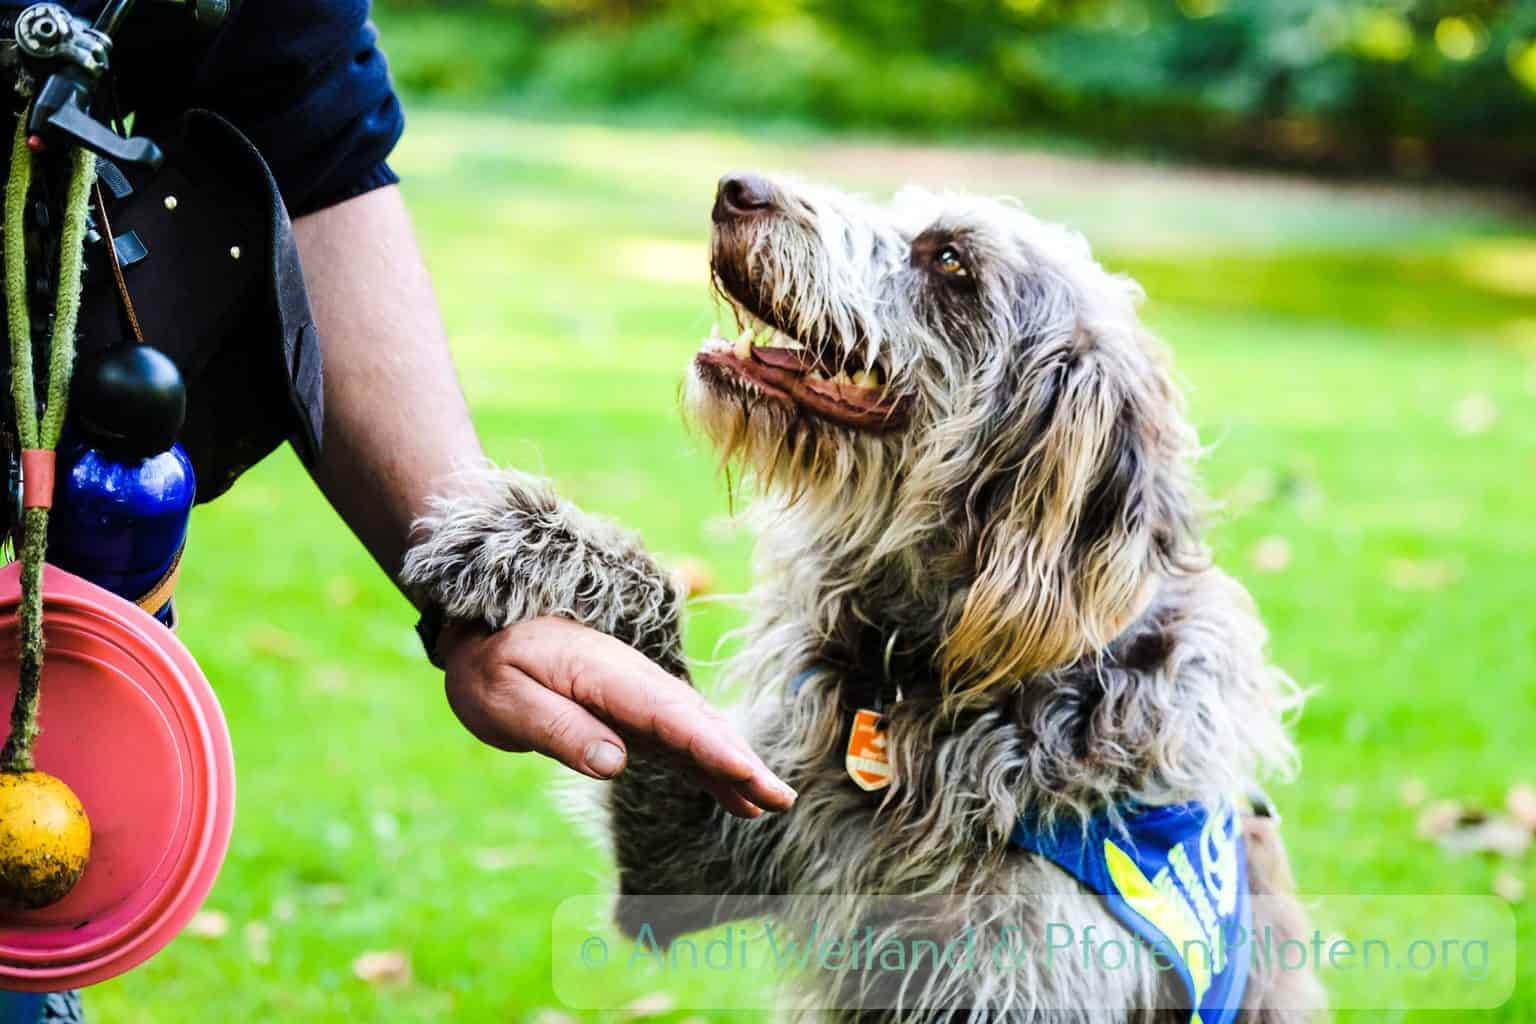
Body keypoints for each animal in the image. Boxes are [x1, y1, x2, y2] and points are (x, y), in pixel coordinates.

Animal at [402, 171, 1327, 1019]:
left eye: (950, 260)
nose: (738, 188)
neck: (940, 680)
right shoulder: (682, 861)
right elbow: (659, 635)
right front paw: (524, 540)